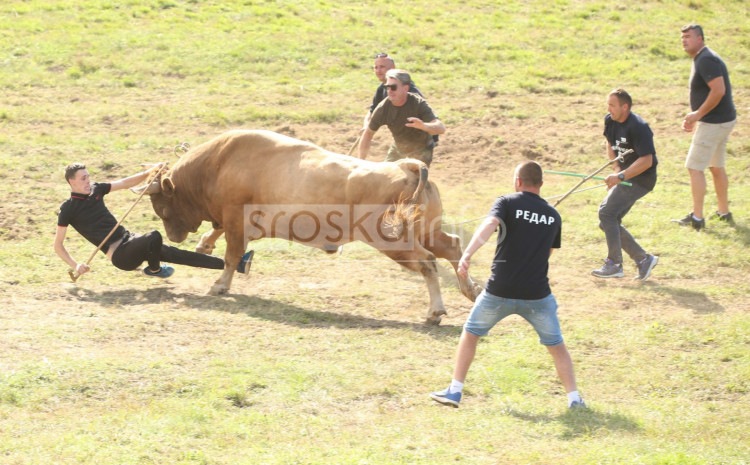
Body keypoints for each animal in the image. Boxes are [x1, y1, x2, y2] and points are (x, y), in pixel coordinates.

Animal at [140, 129, 482, 320]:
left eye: (162, 208)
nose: (174, 236)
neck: (219, 163)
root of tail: (407, 166)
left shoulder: (237, 220)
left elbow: (232, 254)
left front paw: (220, 285)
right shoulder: (236, 221)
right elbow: (220, 233)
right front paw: (205, 245)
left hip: (392, 241)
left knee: (427, 262)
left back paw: (435, 312)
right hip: (427, 230)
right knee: (452, 247)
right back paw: (471, 290)